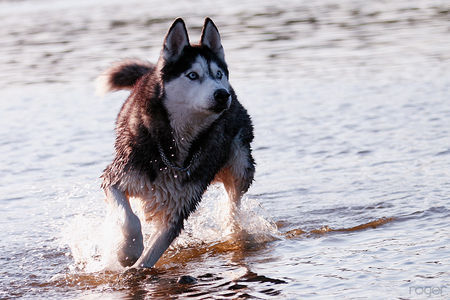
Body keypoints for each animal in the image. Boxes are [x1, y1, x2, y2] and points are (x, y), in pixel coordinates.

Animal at [98, 18, 253, 268]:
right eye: (192, 75)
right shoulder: (115, 177)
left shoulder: (180, 205)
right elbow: (129, 219)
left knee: (233, 203)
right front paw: (128, 252)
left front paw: (136, 265)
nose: (222, 94)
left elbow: (151, 253)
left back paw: (234, 231)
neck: (172, 148)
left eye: (218, 73)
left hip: (241, 167)